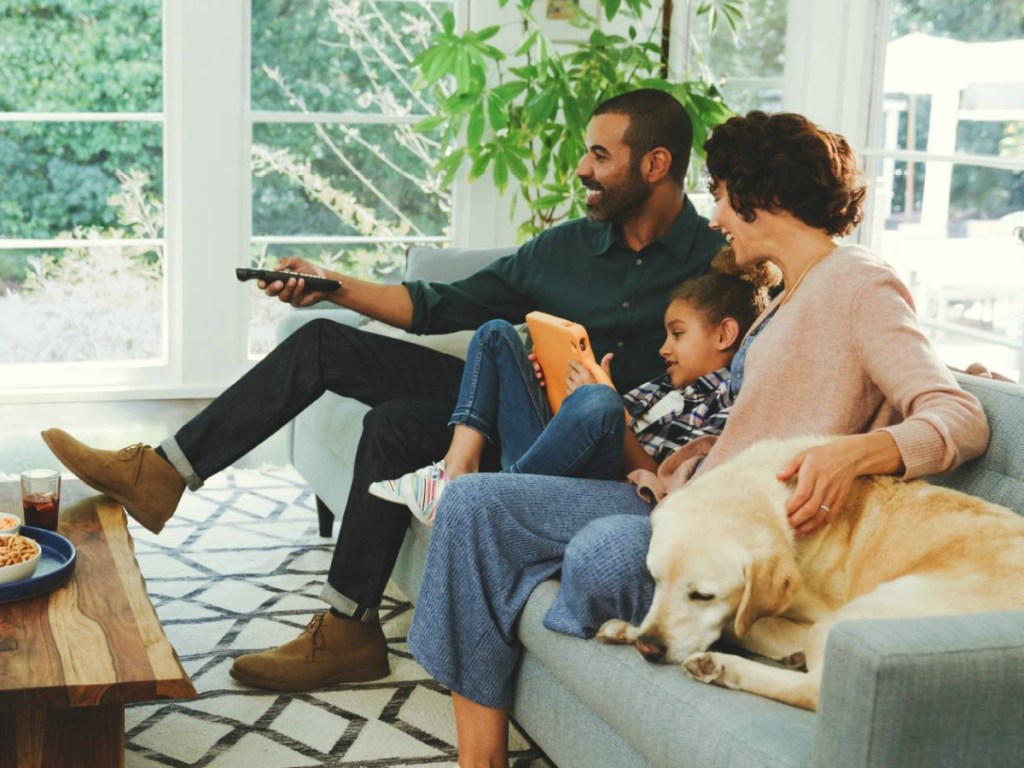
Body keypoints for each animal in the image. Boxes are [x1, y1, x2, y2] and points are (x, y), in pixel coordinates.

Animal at [598, 436, 1024, 712]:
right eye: (655, 580)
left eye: (703, 595)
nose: (649, 648)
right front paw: (631, 630)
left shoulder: (803, 611)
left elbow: (742, 623)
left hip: (858, 613)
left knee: (815, 691)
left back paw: (724, 667)